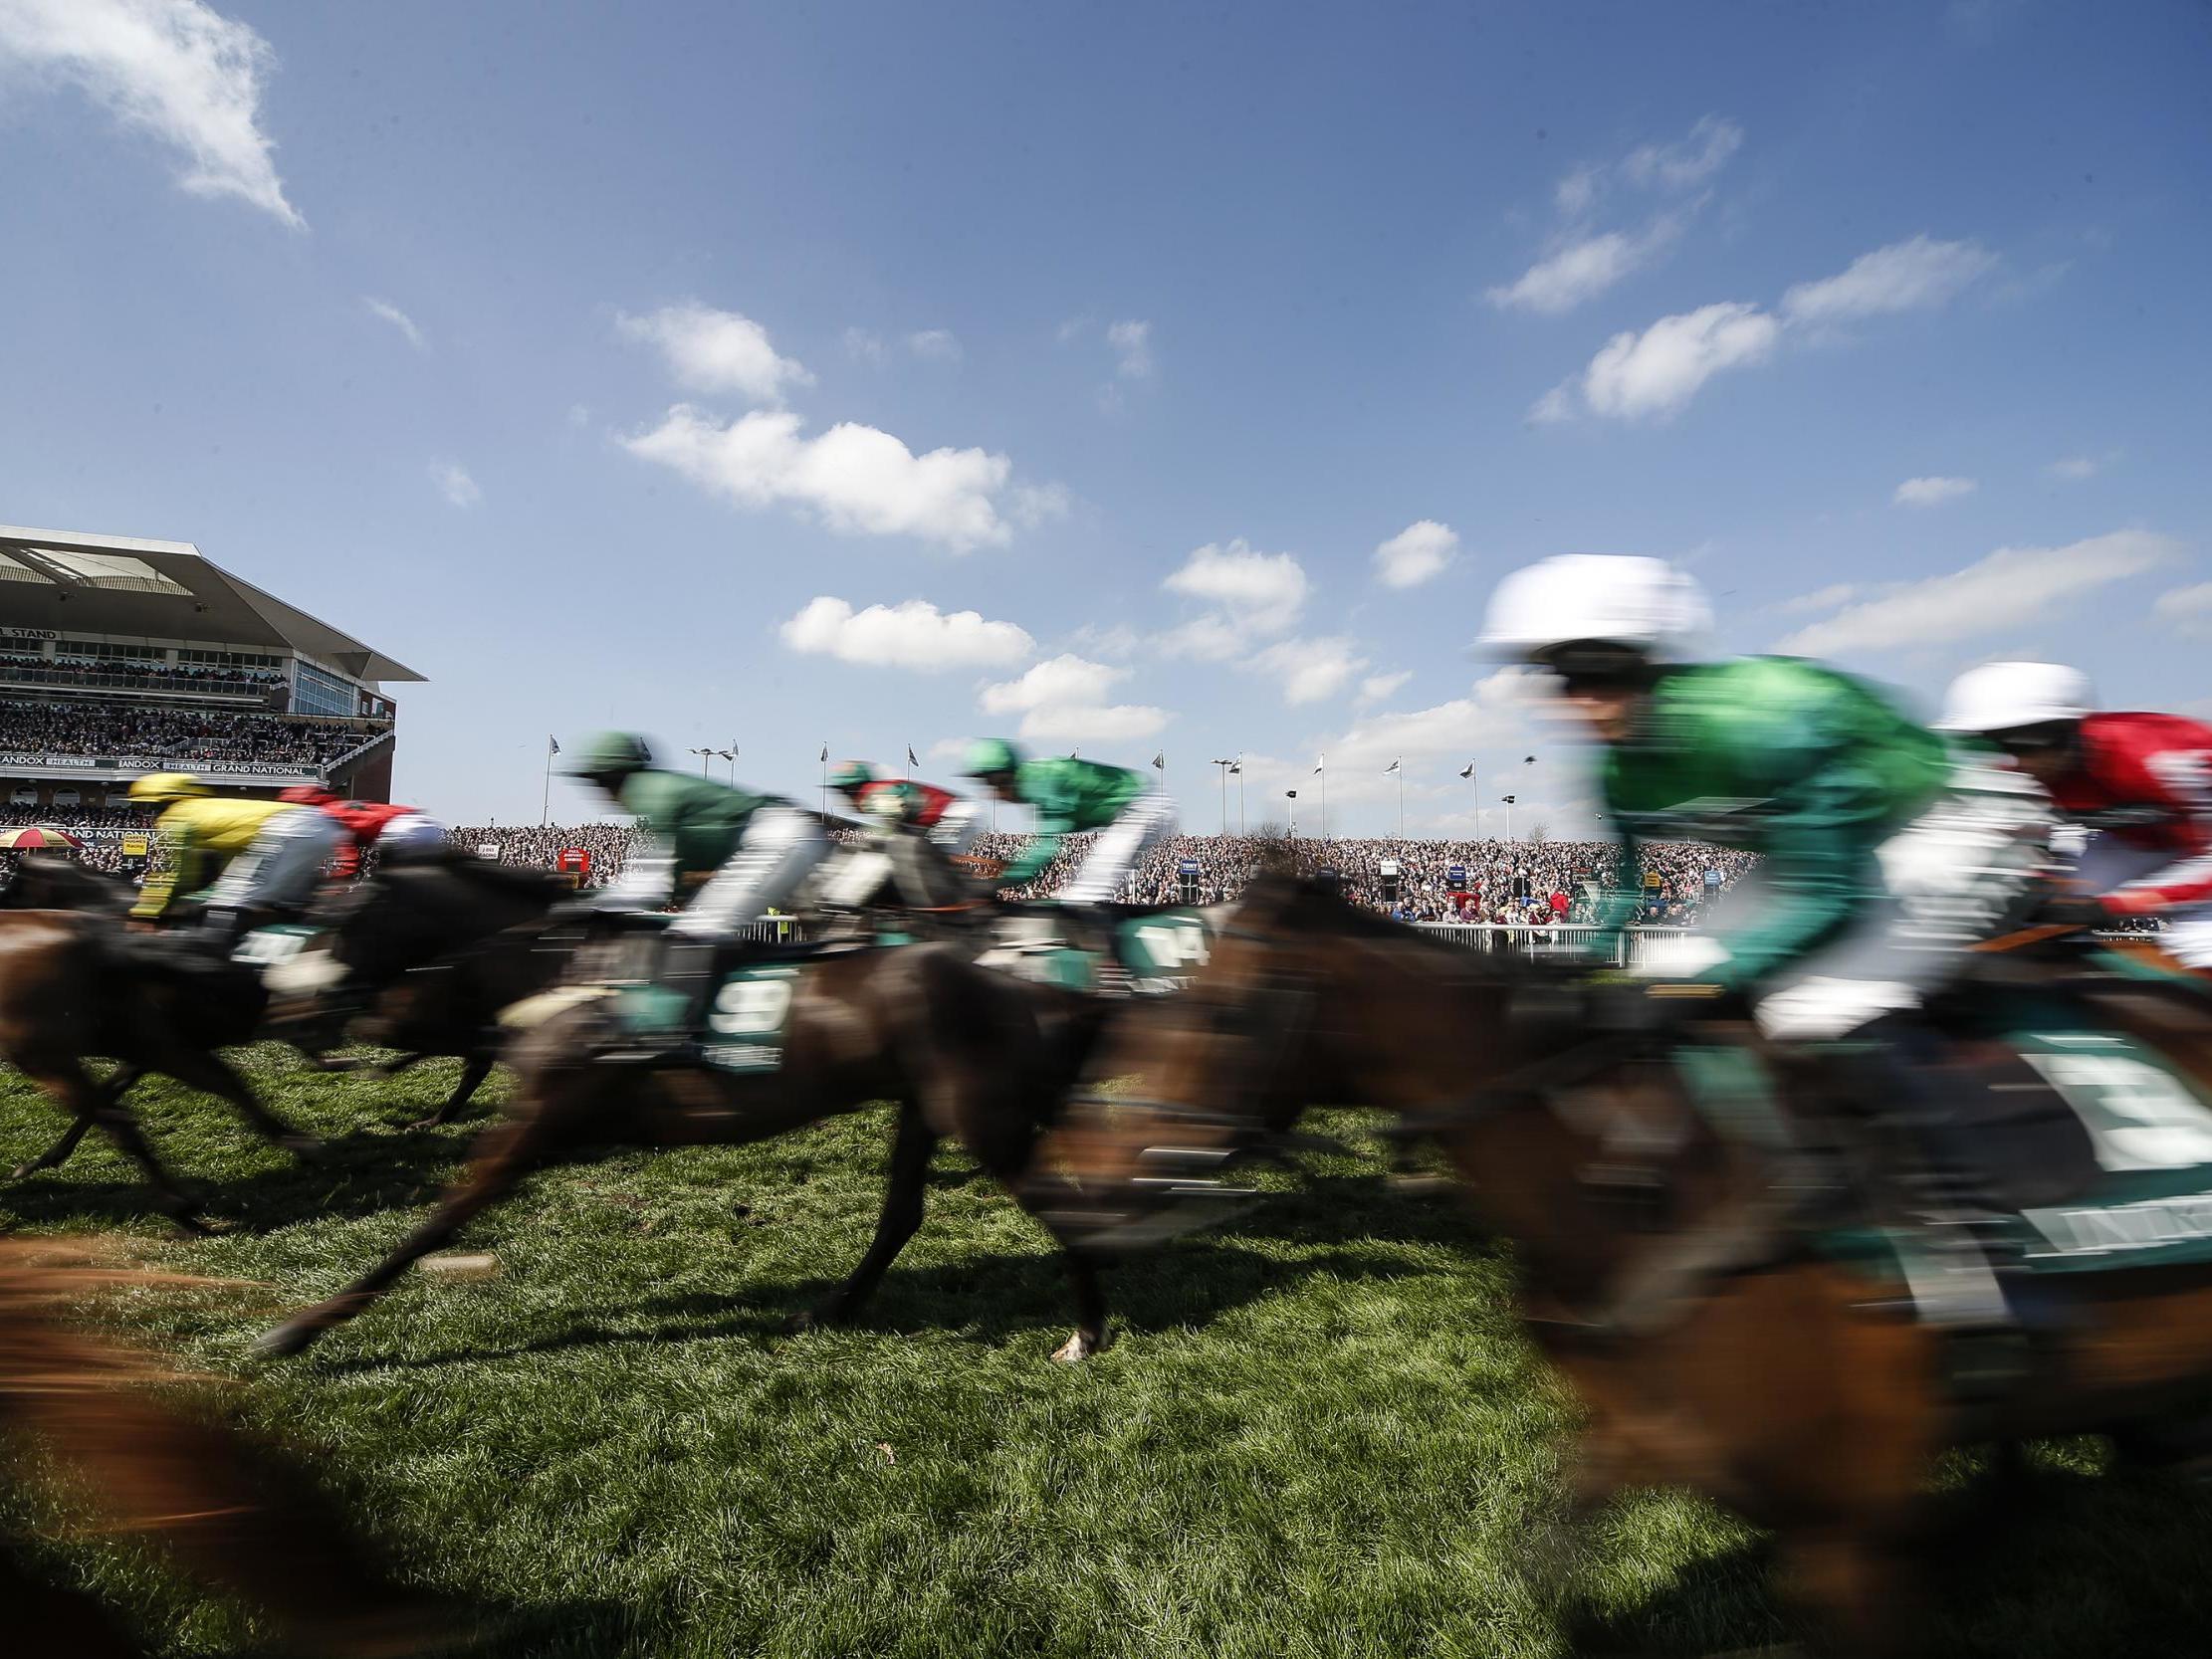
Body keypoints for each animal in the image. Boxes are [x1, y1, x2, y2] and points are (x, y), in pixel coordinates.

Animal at [254, 946, 1123, 1362]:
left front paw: (297, 1329)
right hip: (923, 1105)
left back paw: (1085, 1333)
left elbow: (435, 1223)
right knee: (900, 1215)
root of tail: (1034, 990)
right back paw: (829, 1310)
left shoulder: (538, 1122)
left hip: (979, 1113)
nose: (307, 1012)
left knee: (1055, 1203)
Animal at [1030, 876, 2212, 1654]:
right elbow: (1560, 1575)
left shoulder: (1846, 1520)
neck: (1649, 1181)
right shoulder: (1643, 1432)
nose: (1075, 1166)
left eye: (1220, 1007)